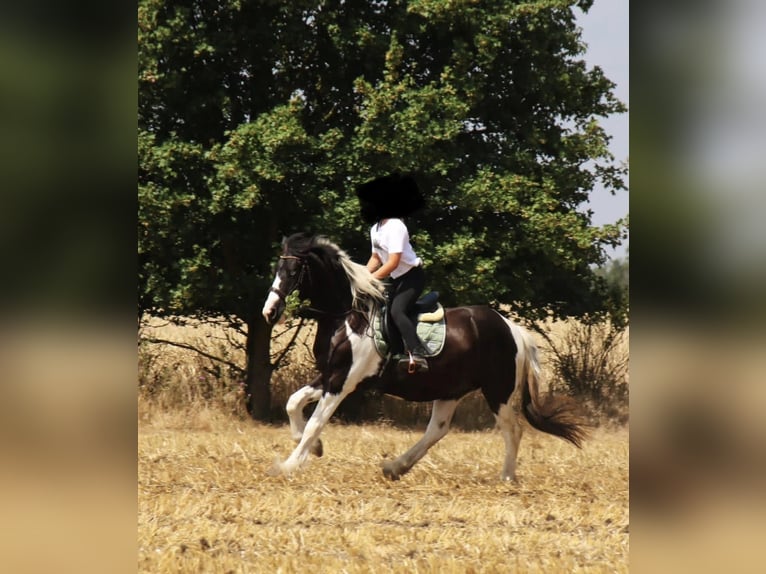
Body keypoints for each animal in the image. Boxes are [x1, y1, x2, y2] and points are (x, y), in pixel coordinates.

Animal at [261, 232, 588, 481]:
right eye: (277, 269)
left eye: (292, 272)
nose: (270, 312)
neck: (348, 316)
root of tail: (512, 329)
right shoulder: (331, 375)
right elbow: (294, 403)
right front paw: (314, 448)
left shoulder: (343, 382)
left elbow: (315, 422)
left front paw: (288, 465)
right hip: (450, 389)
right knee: (437, 430)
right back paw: (395, 467)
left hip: (498, 391)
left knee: (512, 429)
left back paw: (506, 478)